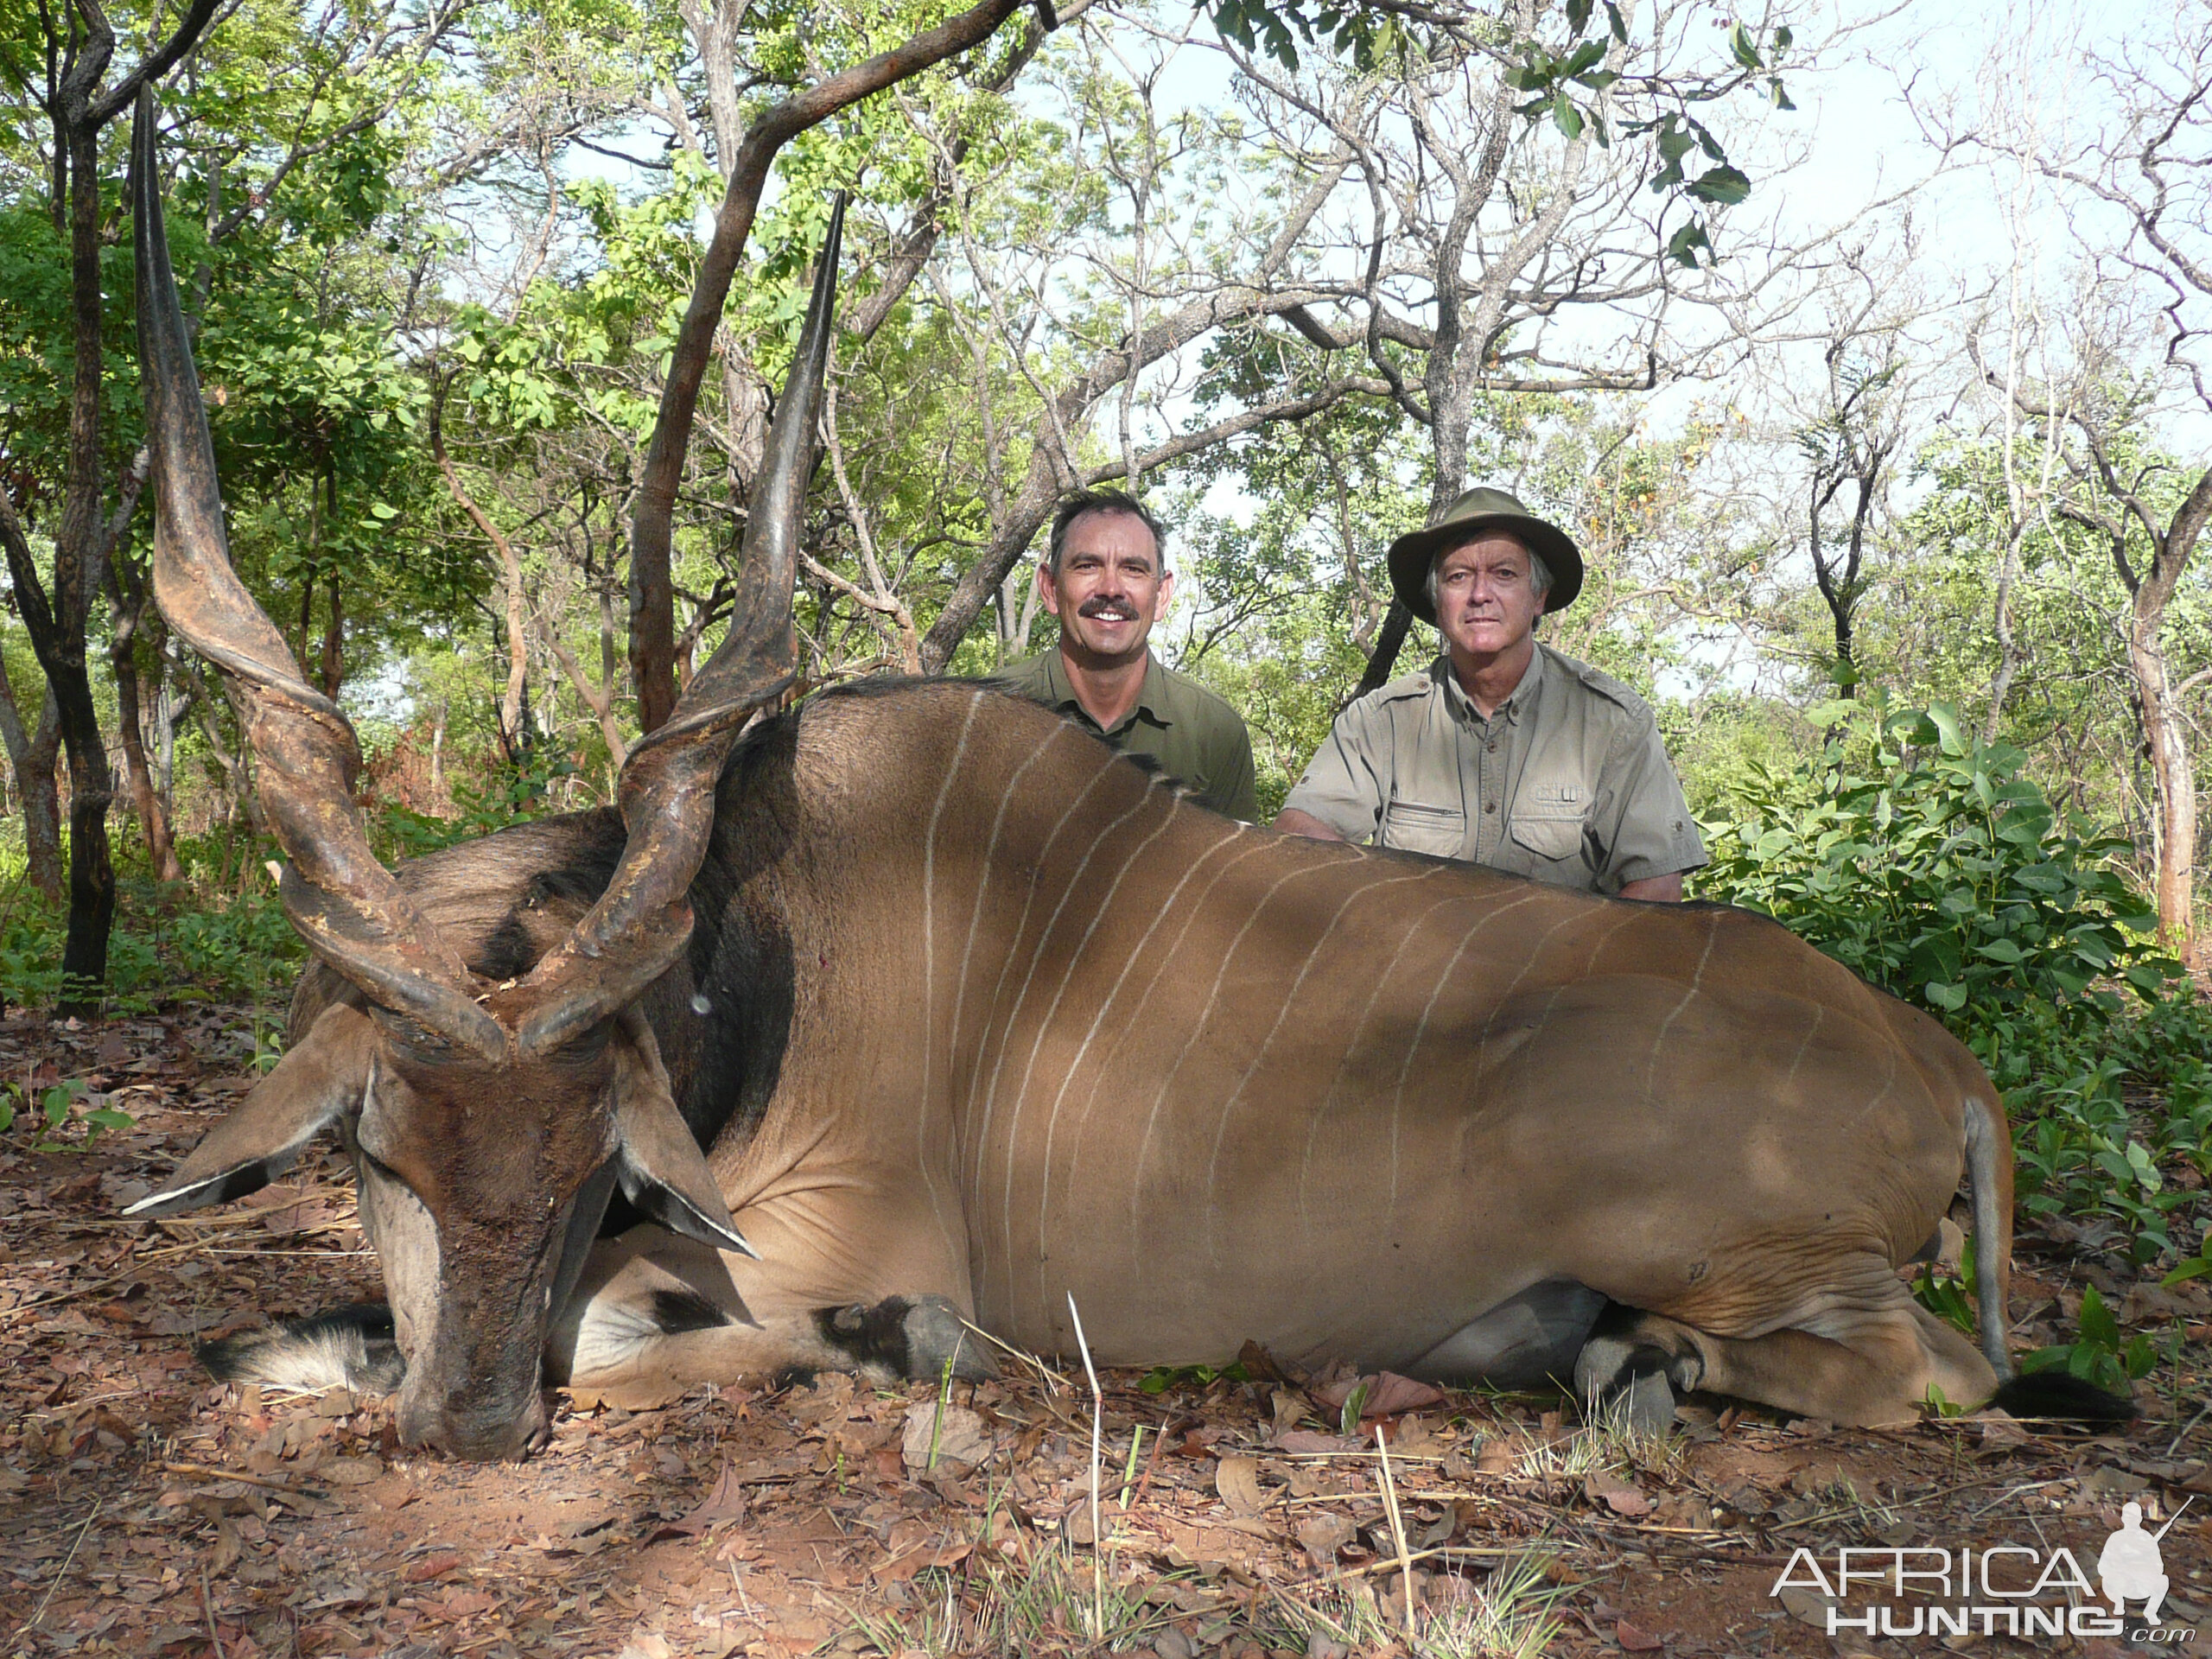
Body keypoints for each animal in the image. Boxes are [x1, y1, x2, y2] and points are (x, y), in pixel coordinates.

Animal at [125, 100, 2123, 1468]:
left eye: (586, 1161)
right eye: (377, 1151)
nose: (465, 1432)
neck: (761, 957)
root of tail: (1933, 1062)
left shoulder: (807, 1242)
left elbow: (650, 1332)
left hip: (1758, 1259)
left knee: (1936, 1374)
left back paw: (1632, 1365)